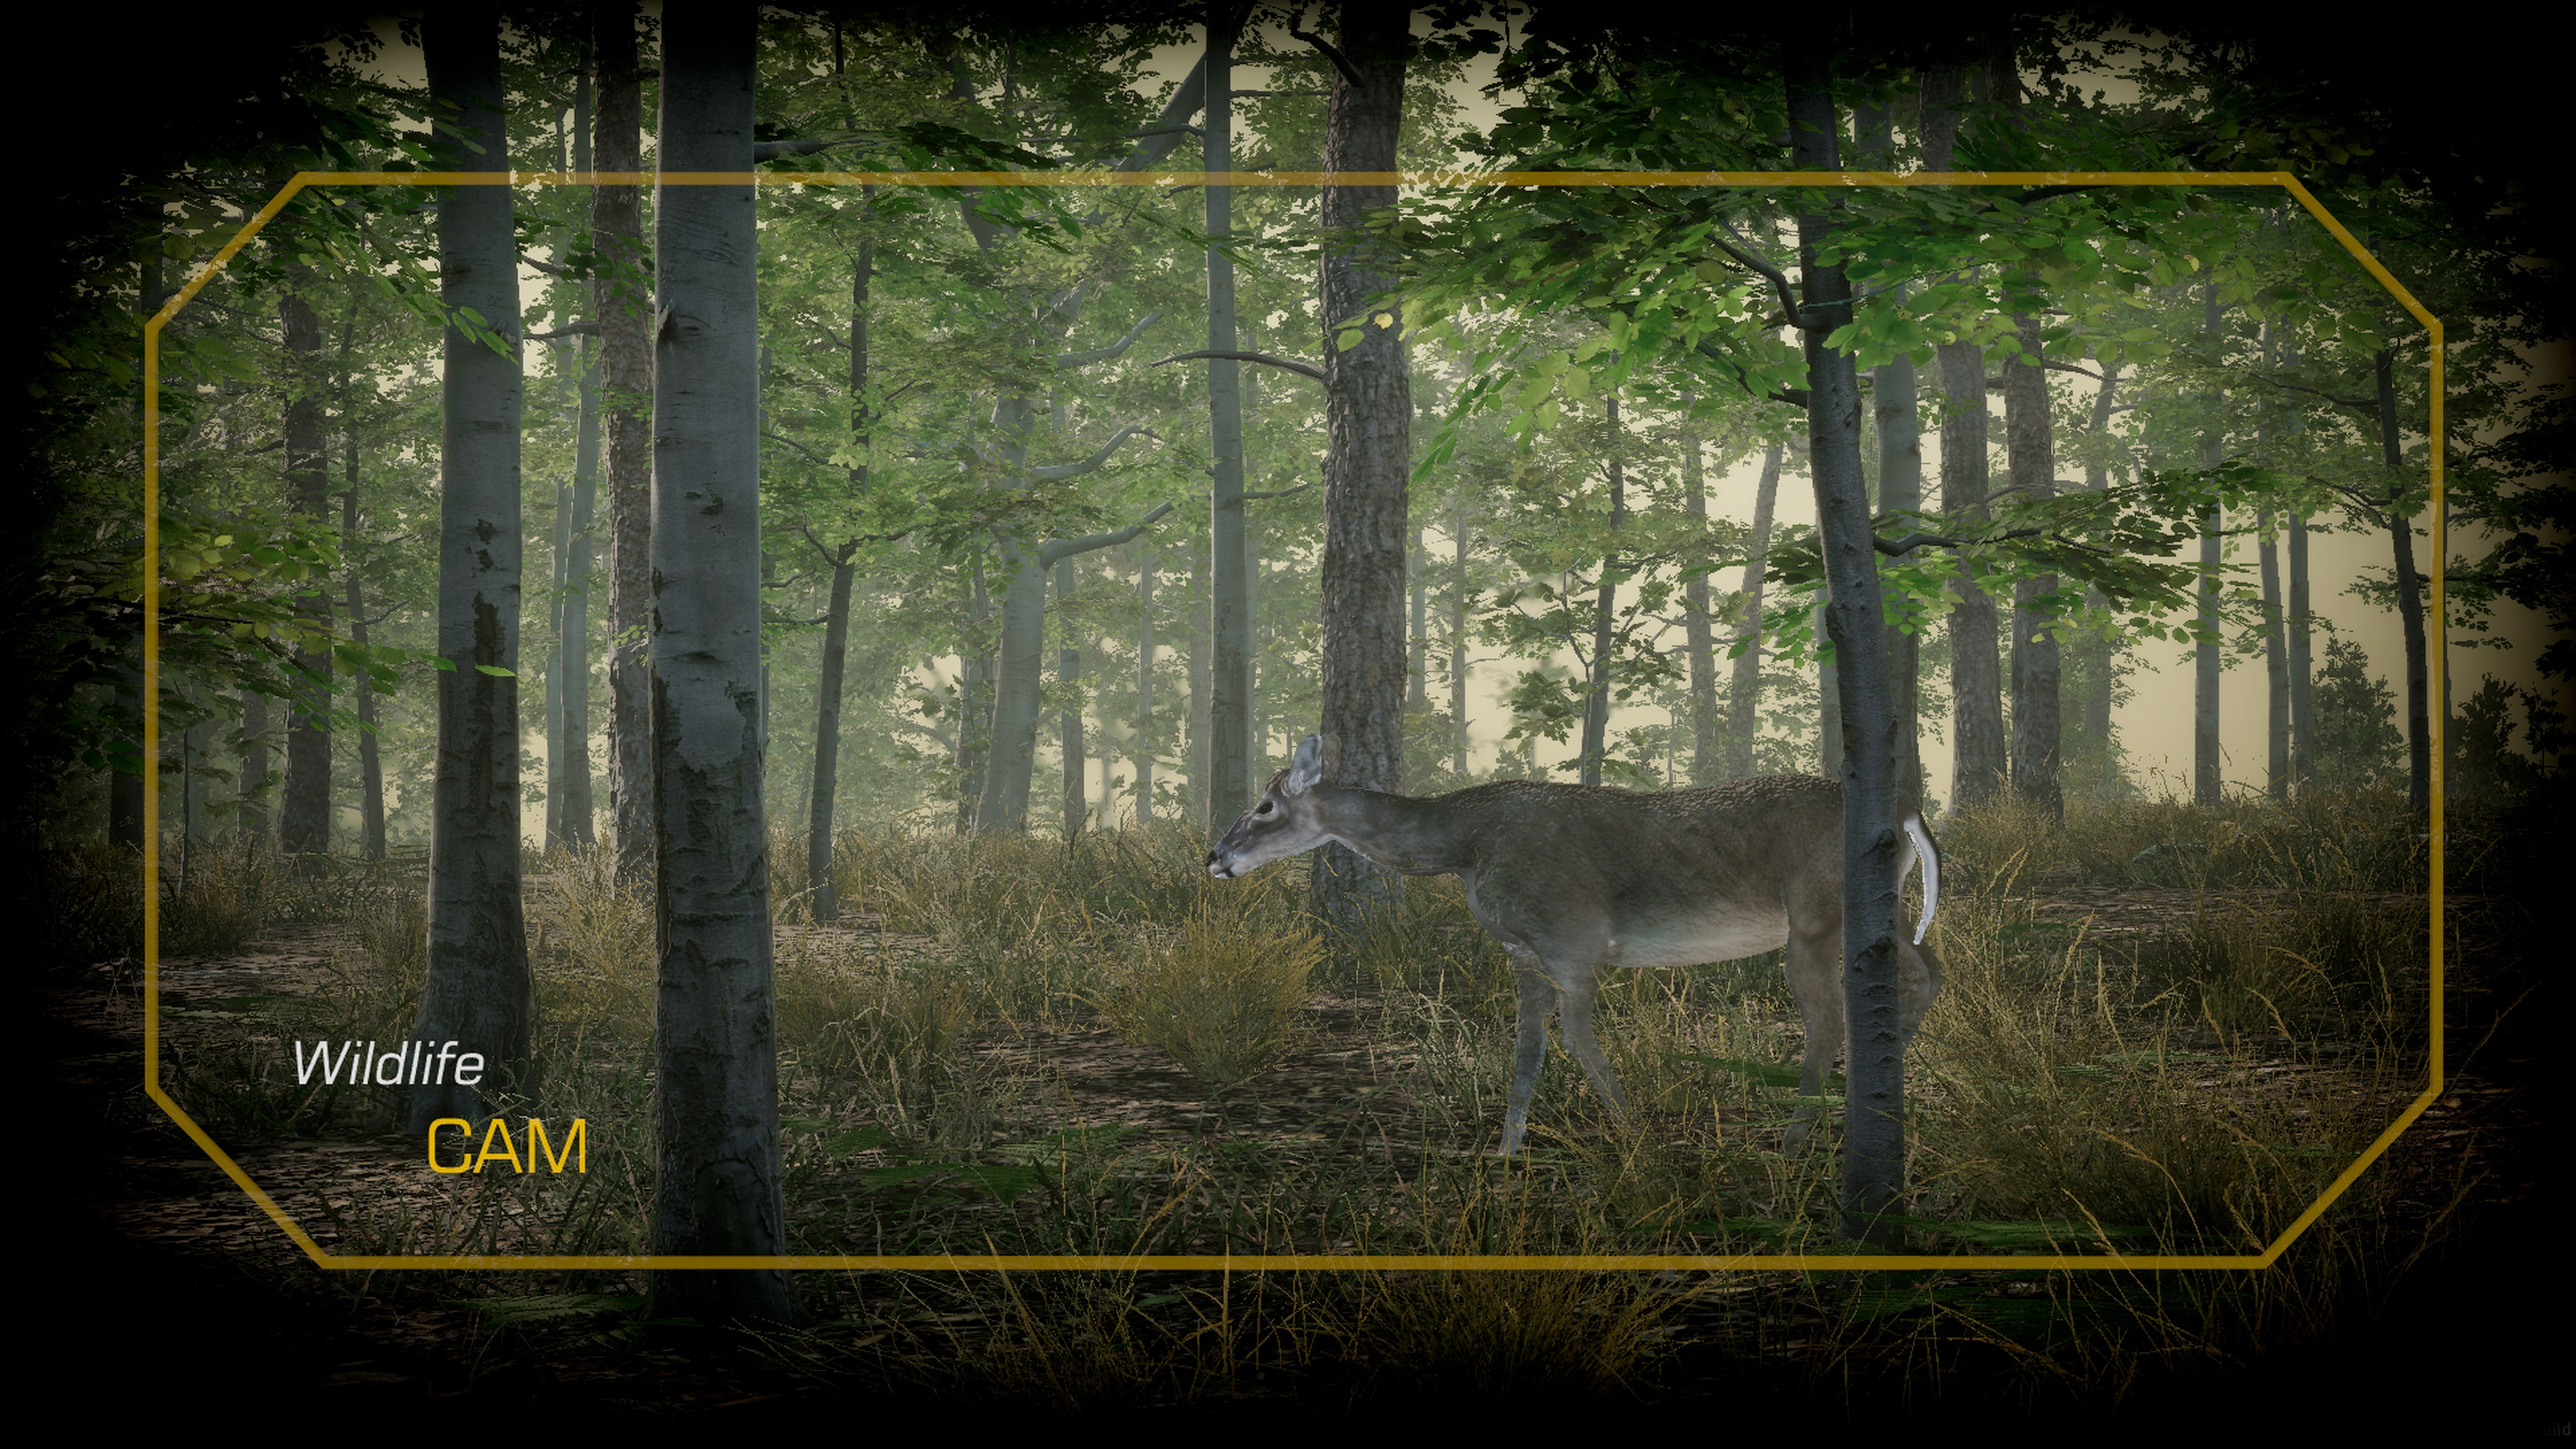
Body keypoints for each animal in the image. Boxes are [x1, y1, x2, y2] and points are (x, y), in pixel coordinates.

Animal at [1207, 735, 1943, 1156]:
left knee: (1827, 1021)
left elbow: (1578, 1040)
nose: (1216, 856)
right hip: (1875, 911)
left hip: (1816, 914)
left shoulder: (1575, 940)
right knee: (1927, 970)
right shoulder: (1525, 953)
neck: (1464, 848)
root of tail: (1908, 811)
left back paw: (1795, 1138)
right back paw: (1871, 1100)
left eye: (1266, 807)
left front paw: (1635, 1134)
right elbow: (1528, 1049)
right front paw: (1507, 1149)